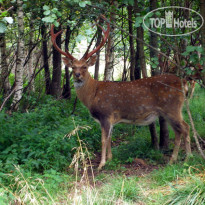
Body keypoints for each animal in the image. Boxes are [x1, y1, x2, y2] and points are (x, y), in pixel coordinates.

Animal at [50, 15, 191, 170]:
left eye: (85, 67)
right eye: (73, 67)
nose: (77, 75)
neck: (93, 94)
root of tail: (183, 83)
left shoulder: (106, 113)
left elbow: (103, 140)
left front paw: (101, 164)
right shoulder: (109, 119)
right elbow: (109, 138)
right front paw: (110, 159)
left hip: (172, 107)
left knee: (186, 127)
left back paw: (187, 159)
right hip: (169, 111)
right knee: (179, 130)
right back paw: (174, 160)